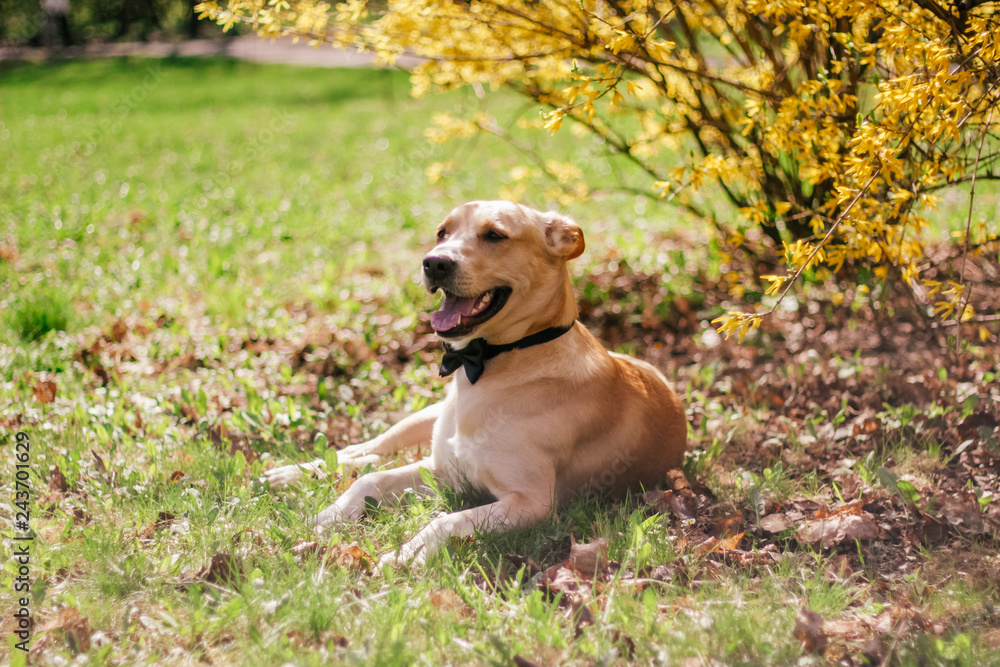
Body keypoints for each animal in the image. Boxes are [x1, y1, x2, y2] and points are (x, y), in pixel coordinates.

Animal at [266, 201, 688, 568]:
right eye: (442, 232)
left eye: (495, 235)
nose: (434, 263)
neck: (492, 364)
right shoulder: (444, 470)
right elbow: (371, 480)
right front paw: (326, 516)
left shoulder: (530, 503)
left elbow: (448, 518)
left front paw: (407, 553)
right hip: (421, 418)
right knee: (366, 452)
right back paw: (295, 471)